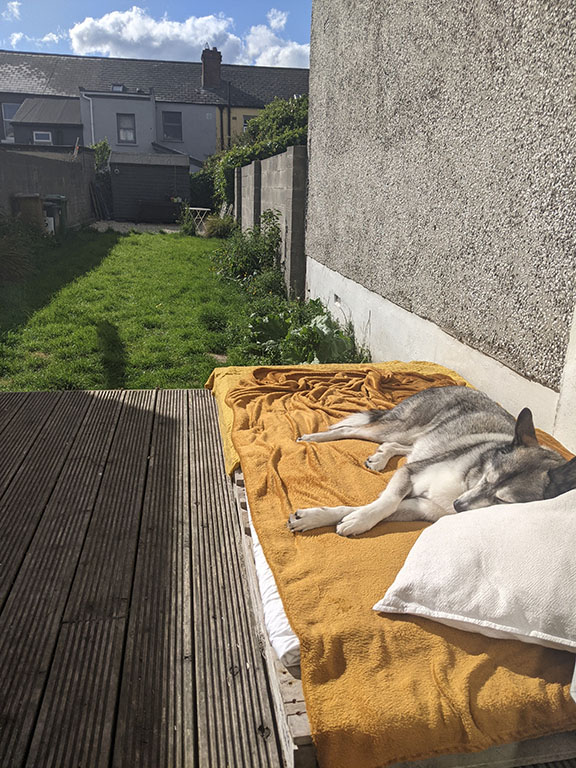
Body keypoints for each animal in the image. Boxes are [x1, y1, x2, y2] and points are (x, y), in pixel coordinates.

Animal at [290, 388, 576, 536]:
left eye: (502, 501)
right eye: (487, 478)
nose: (458, 506)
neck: (466, 482)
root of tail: (454, 386)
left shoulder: (420, 507)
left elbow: (368, 507)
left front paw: (333, 519)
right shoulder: (410, 472)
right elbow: (385, 502)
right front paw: (356, 519)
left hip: (419, 439)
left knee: (398, 447)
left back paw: (380, 458)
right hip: (399, 428)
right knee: (352, 429)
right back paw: (313, 437)